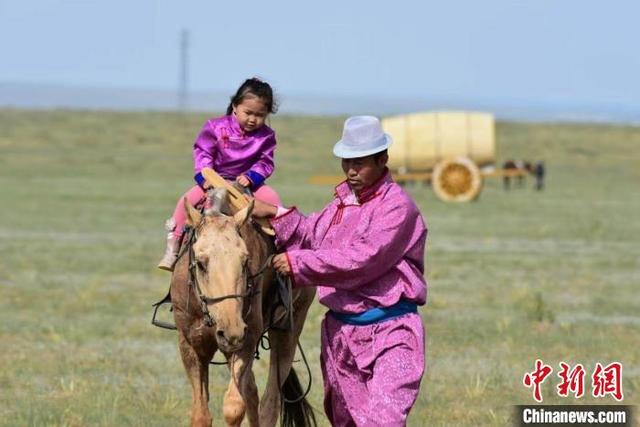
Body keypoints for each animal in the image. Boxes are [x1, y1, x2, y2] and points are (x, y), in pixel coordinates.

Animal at [170, 193, 318, 427]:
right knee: (252, 392)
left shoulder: (246, 339)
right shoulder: (190, 344)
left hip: (289, 330)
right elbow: (201, 414)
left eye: (245, 260)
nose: (232, 330)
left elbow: (233, 407)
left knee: (269, 402)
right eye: (201, 263)